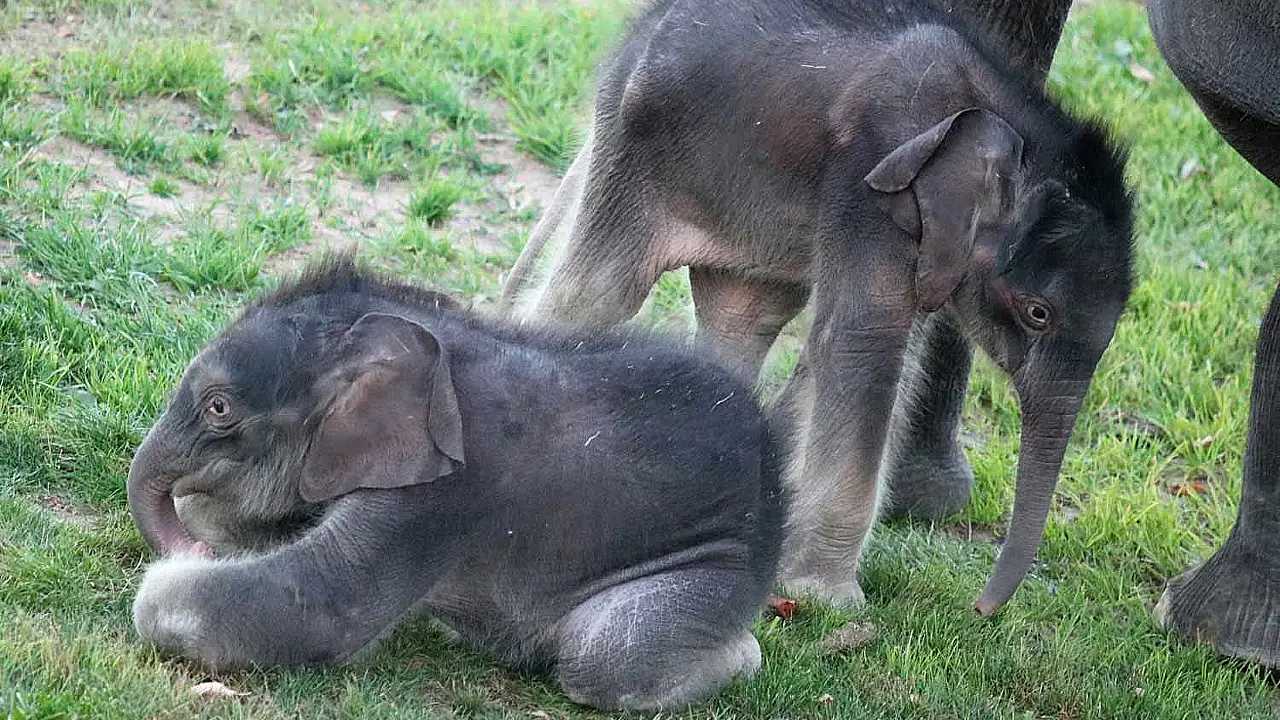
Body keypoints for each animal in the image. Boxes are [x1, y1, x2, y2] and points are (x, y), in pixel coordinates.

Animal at [127, 251, 778, 707]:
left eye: (218, 408)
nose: (196, 551)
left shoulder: (443, 496)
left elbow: (320, 603)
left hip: (719, 568)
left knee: (608, 656)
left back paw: (738, 657)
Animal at [504, 1, 1136, 617]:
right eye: (1037, 313)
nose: (979, 609)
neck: (1014, 123)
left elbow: (880, 350)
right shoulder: (872, 184)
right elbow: (864, 343)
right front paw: (829, 601)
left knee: (746, 317)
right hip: (636, 150)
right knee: (596, 293)